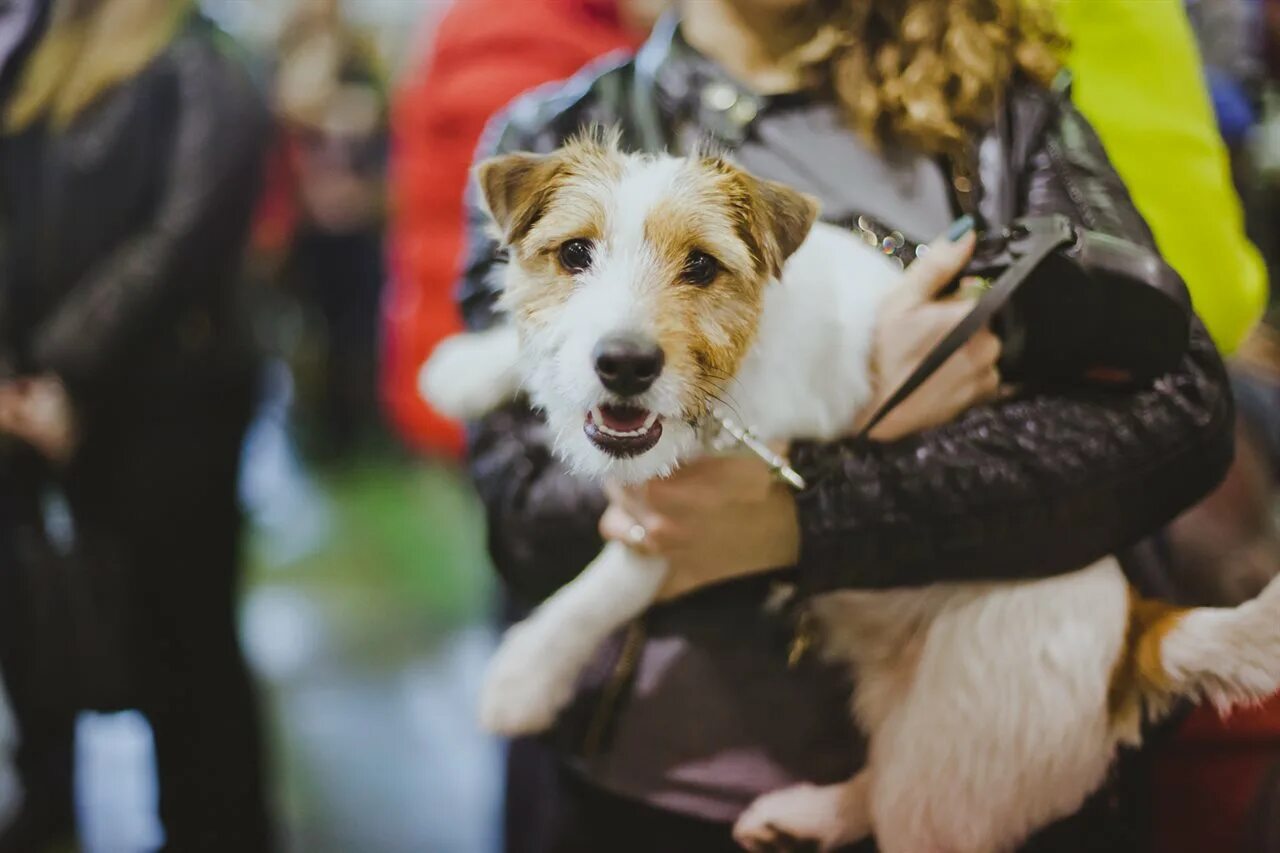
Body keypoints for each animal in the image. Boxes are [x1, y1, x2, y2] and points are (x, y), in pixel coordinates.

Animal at [424, 129, 1280, 845]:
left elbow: (615, 577)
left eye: (700, 265)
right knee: (880, 784)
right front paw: (468, 367)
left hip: (955, 762)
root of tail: (1139, 631)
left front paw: (528, 673)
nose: (625, 365)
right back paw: (804, 815)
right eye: (575, 253)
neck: (745, 357)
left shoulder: (720, 495)